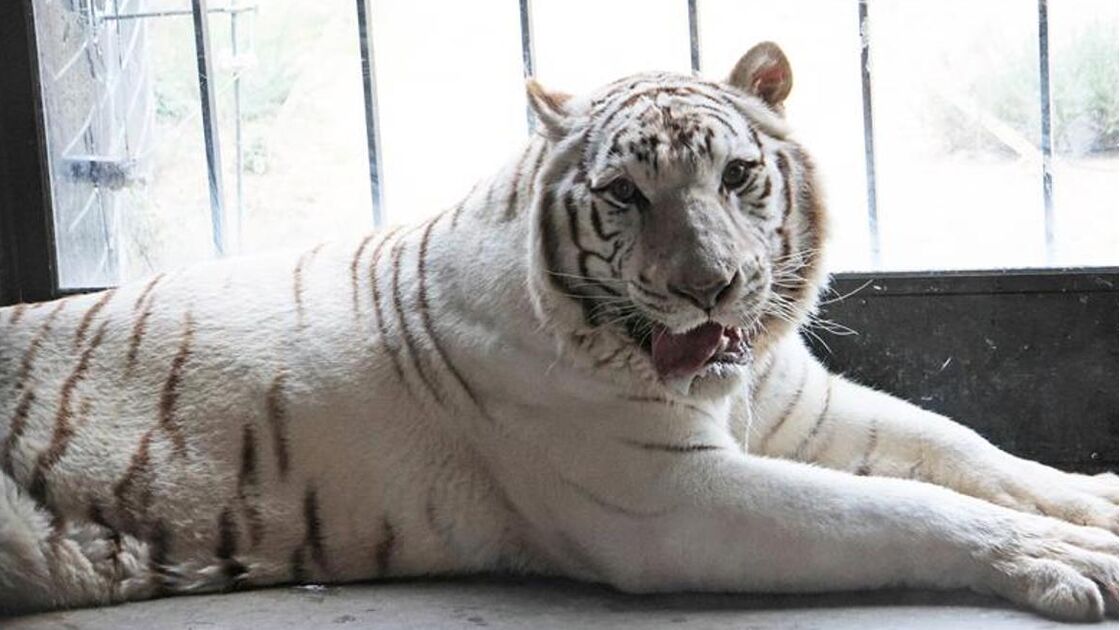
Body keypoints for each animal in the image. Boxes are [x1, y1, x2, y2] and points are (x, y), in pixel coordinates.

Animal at [1, 42, 1117, 621]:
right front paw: (1076, 559)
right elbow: (902, 508)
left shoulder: (803, 408)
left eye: (736, 176)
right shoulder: (671, 500)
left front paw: (1096, 499)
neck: (727, 383)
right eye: (625, 194)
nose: (712, 290)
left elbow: (962, 447)